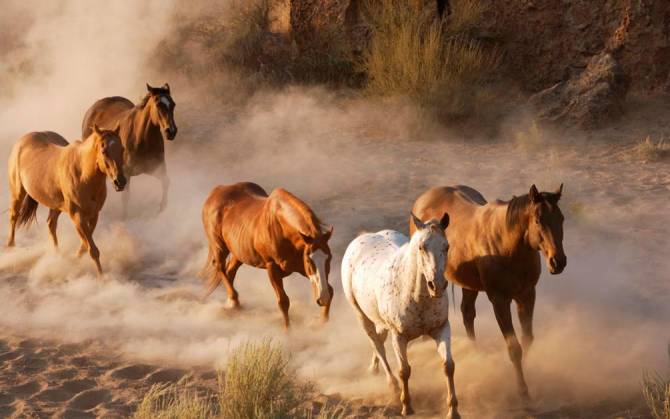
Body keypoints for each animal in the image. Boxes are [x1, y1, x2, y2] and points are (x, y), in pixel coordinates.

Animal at [7, 126, 126, 274]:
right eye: (104, 151)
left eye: (122, 149)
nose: (120, 182)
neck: (83, 174)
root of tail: (22, 141)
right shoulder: (77, 216)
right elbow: (92, 249)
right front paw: (101, 277)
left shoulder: (94, 215)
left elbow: (85, 246)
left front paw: (75, 260)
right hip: (18, 194)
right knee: (14, 217)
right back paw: (10, 248)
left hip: (56, 205)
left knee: (51, 224)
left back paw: (57, 256)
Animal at [81, 84, 178, 218]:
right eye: (158, 104)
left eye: (173, 104)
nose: (171, 131)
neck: (141, 138)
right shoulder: (125, 174)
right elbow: (125, 198)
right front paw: (125, 217)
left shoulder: (157, 168)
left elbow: (166, 182)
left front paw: (162, 208)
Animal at [201, 182, 334, 330]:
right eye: (309, 260)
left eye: (329, 258)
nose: (322, 298)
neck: (281, 227)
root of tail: (216, 191)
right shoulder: (272, 267)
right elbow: (283, 301)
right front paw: (288, 331)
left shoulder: (300, 267)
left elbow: (331, 290)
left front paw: (322, 321)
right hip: (219, 246)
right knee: (219, 266)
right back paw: (233, 301)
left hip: (238, 253)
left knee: (230, 271)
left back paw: (232, 304)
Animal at [344, 215, 460, 418]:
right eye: (422, 247)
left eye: (446, 246)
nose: (437, 286)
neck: (415, 295)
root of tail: (361, 238)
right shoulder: (399, 337)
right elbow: (404, 370)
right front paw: (407, 406)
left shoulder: (441, 328)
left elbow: (448, 366)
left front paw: (453, 410)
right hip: (362, 316)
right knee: (377, 345)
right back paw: (392, 385)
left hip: (380, 321)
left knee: (379, 341)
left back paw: (373, 368)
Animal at [414, 185, 568, 402]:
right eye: (538, 220)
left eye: (561, 218)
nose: (558, 262)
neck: (508, 245)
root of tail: (424, 198)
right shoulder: (499, 301)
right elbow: (514, 348)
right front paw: (522, 390)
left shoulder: (527, 296)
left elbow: (527, 339)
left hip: (469, 285)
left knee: (467, 313)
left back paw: (475, 352)